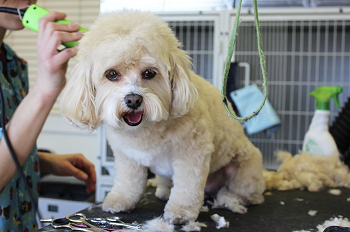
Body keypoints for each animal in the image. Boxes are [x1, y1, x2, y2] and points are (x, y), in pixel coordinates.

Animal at [60, 10, 266, 224]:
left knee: (249, 194)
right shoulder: (127, 156)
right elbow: (128, 182)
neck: (144, 129)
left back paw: (230, 198)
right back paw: (165, 191)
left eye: (149, 73)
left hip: (244, 169)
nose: (133, 100)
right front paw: (120, 200)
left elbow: (187, 187)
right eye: (112, 74)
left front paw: (181, 212)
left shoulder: (193, 153)